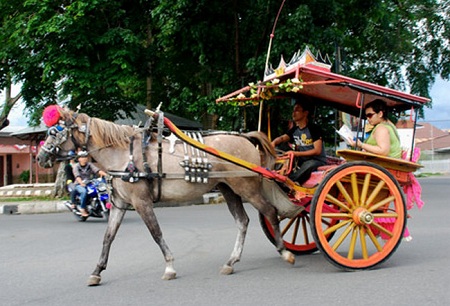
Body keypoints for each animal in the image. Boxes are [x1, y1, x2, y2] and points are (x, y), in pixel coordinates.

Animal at [37, 107, 298, 284]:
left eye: (55, 131)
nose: (40, 157)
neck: (123, 155)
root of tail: (243, 137)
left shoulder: (141, 202)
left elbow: (156, 233)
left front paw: (170, 267)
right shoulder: (120, 204)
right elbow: (108, 237)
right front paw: (97, 271)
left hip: (247, 188)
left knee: (270, 211)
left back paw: (285, 251)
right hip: (229, 189)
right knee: (243, 221)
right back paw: (231, 262)